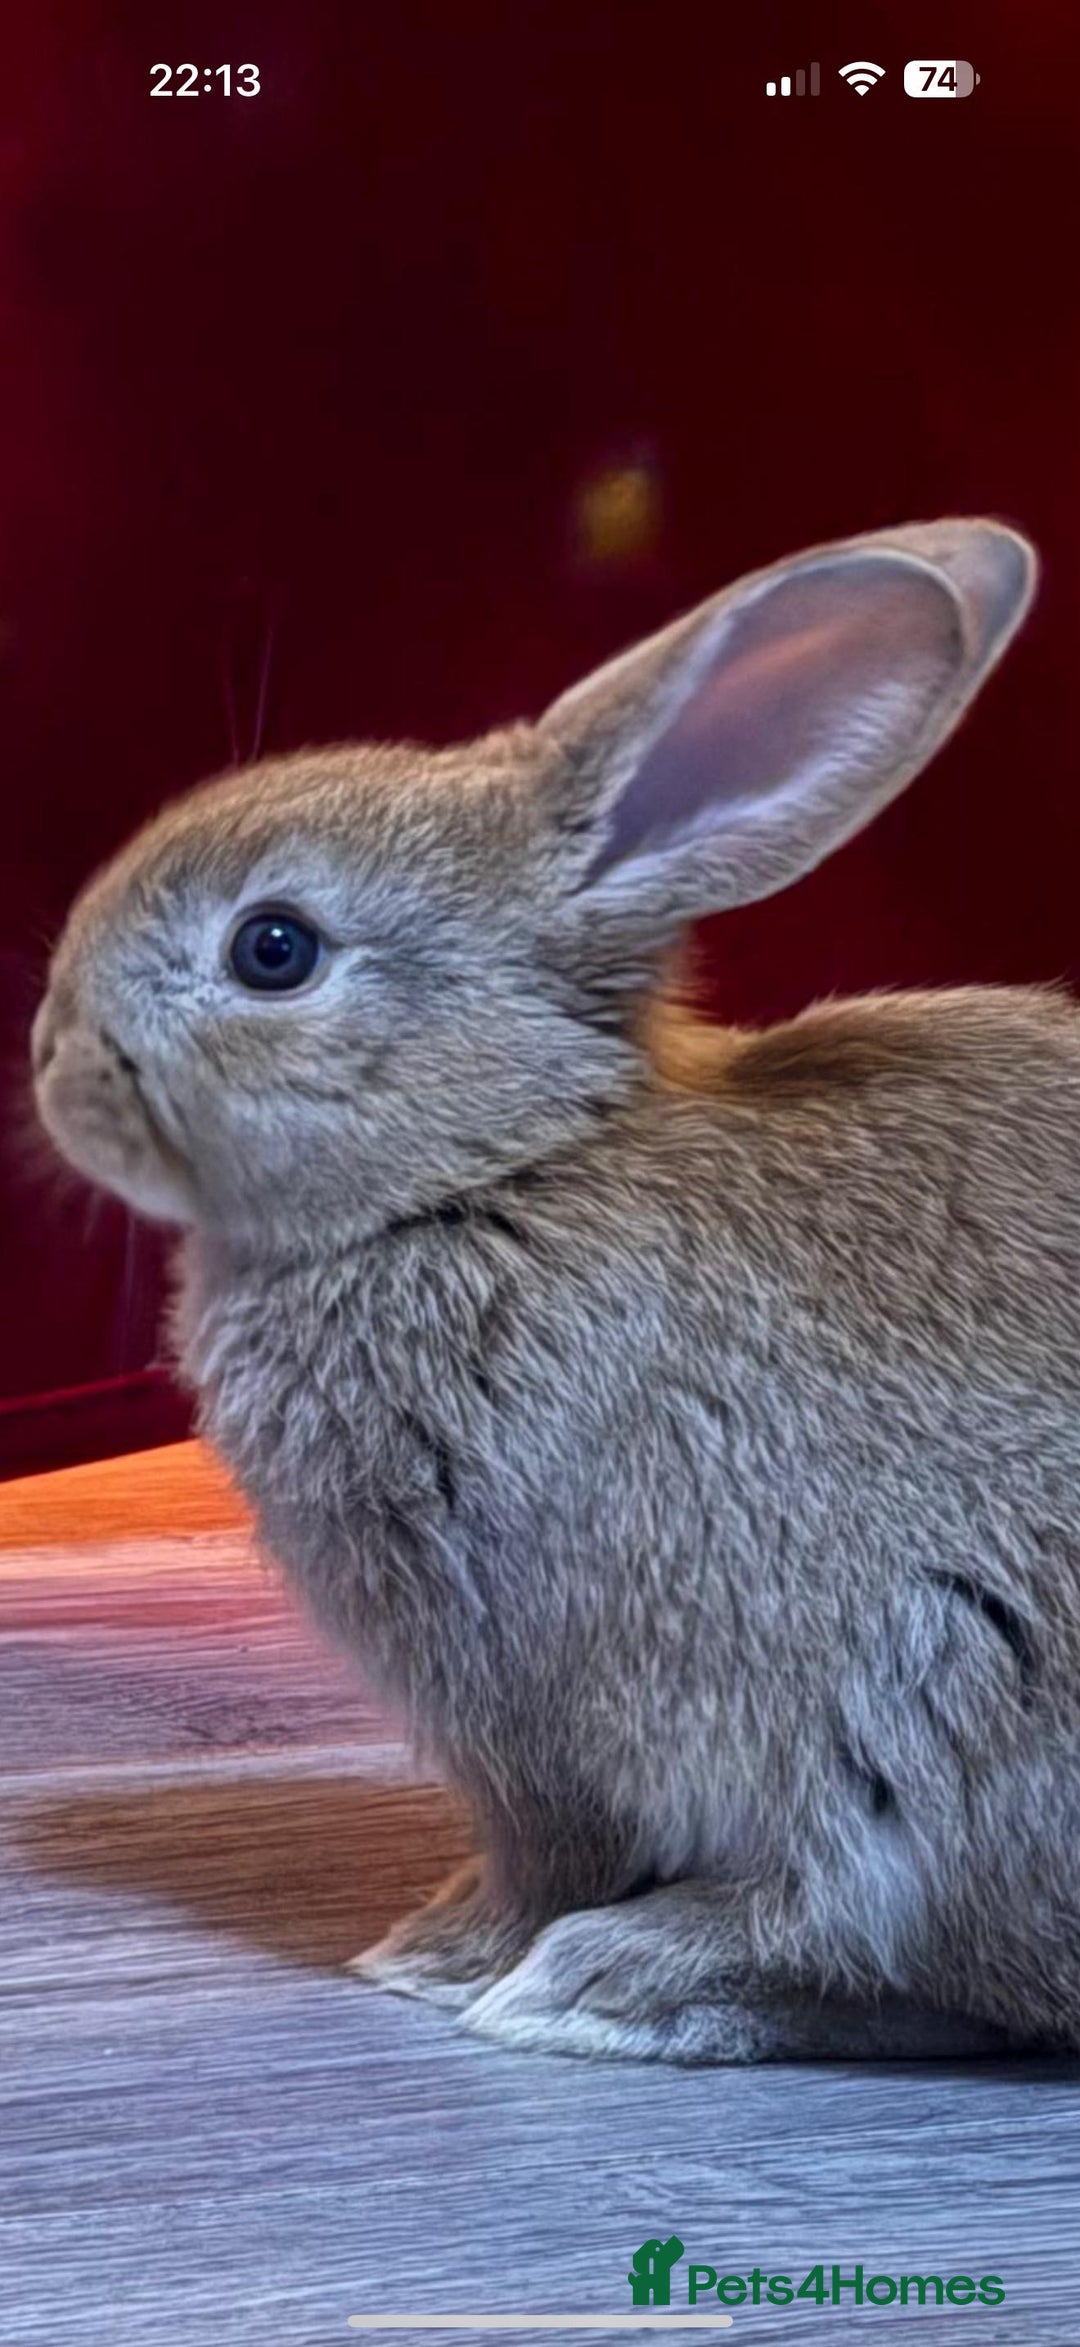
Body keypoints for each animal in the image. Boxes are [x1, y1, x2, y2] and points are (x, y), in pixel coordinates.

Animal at [32, 514, 1080, 2067]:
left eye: (273, 947)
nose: (52, 1054)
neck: (495, 1164)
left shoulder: (526, 1709)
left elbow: (549, 1846)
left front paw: (435, 1952)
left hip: (959, 1700)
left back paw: (612, 1979)